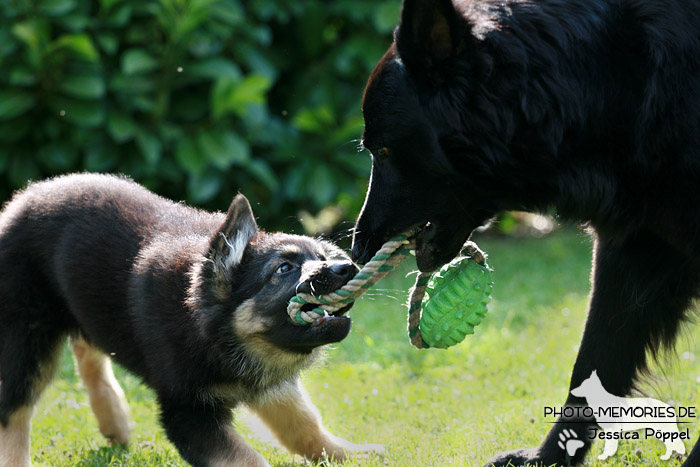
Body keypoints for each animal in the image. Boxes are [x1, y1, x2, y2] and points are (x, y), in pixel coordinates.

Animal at [0, 174, 380, 466]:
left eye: (322, 257)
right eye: (284, 269)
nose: (346, 267)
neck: (209, 327)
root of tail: (22, 199)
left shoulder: (268, 381)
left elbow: (303, 424)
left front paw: (352, 454)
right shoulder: (187, 412)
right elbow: (246, 458)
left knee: (88, 349)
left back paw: (115, 420)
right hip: (26, 335)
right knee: (14, 410)